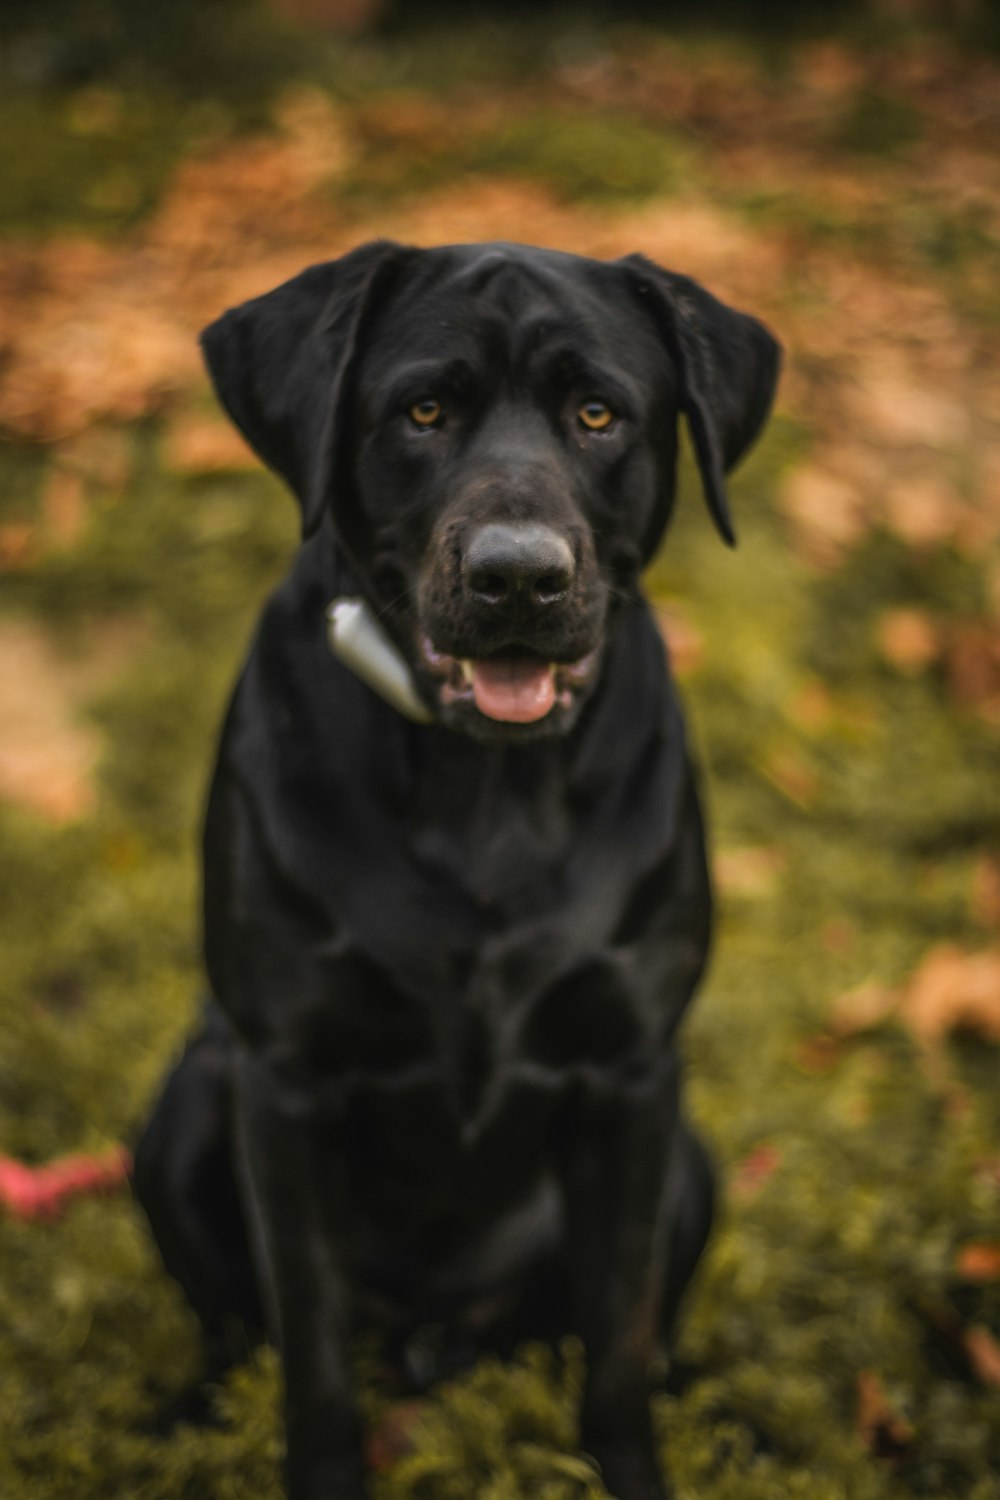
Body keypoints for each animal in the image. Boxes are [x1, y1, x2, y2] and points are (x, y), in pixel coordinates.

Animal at [132, 240, 779, 1494]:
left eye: (597, 414)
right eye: (422, 411)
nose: (516, 576)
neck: (486, 792)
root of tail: (440, 1339)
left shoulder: (631, 1075)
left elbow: (619, 1336)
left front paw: (632, 1466)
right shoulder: (284, 1080)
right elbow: (311, 1346)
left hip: (691, 1163)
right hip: (181, 1117)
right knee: (234, 1326)